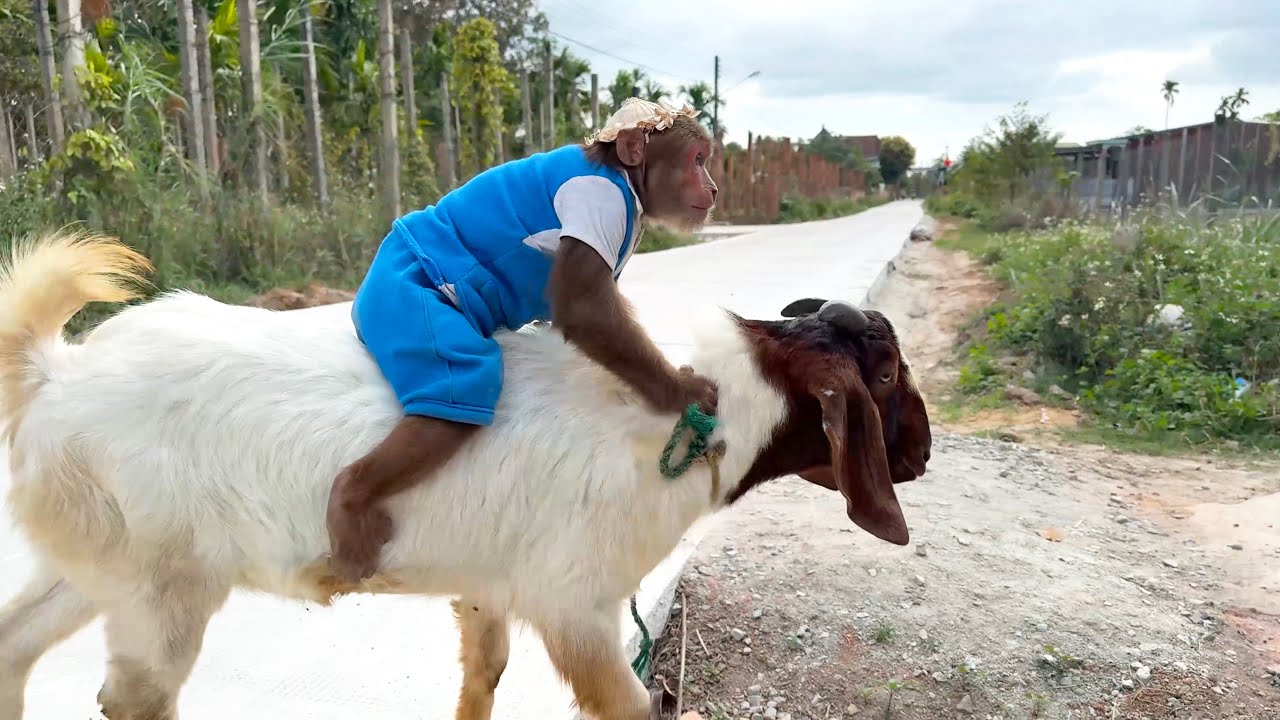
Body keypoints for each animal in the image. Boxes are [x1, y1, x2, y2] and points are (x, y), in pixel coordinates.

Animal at [0, 231, 932, 720]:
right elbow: (631, 707)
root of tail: (58, 374)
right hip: (163, 591)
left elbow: (485, 674)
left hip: (96, 563)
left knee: (16, 643)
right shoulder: (575, 605)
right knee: (131, 699)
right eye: (884, 374)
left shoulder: (488, 586)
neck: (706, 411)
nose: (920, 456)